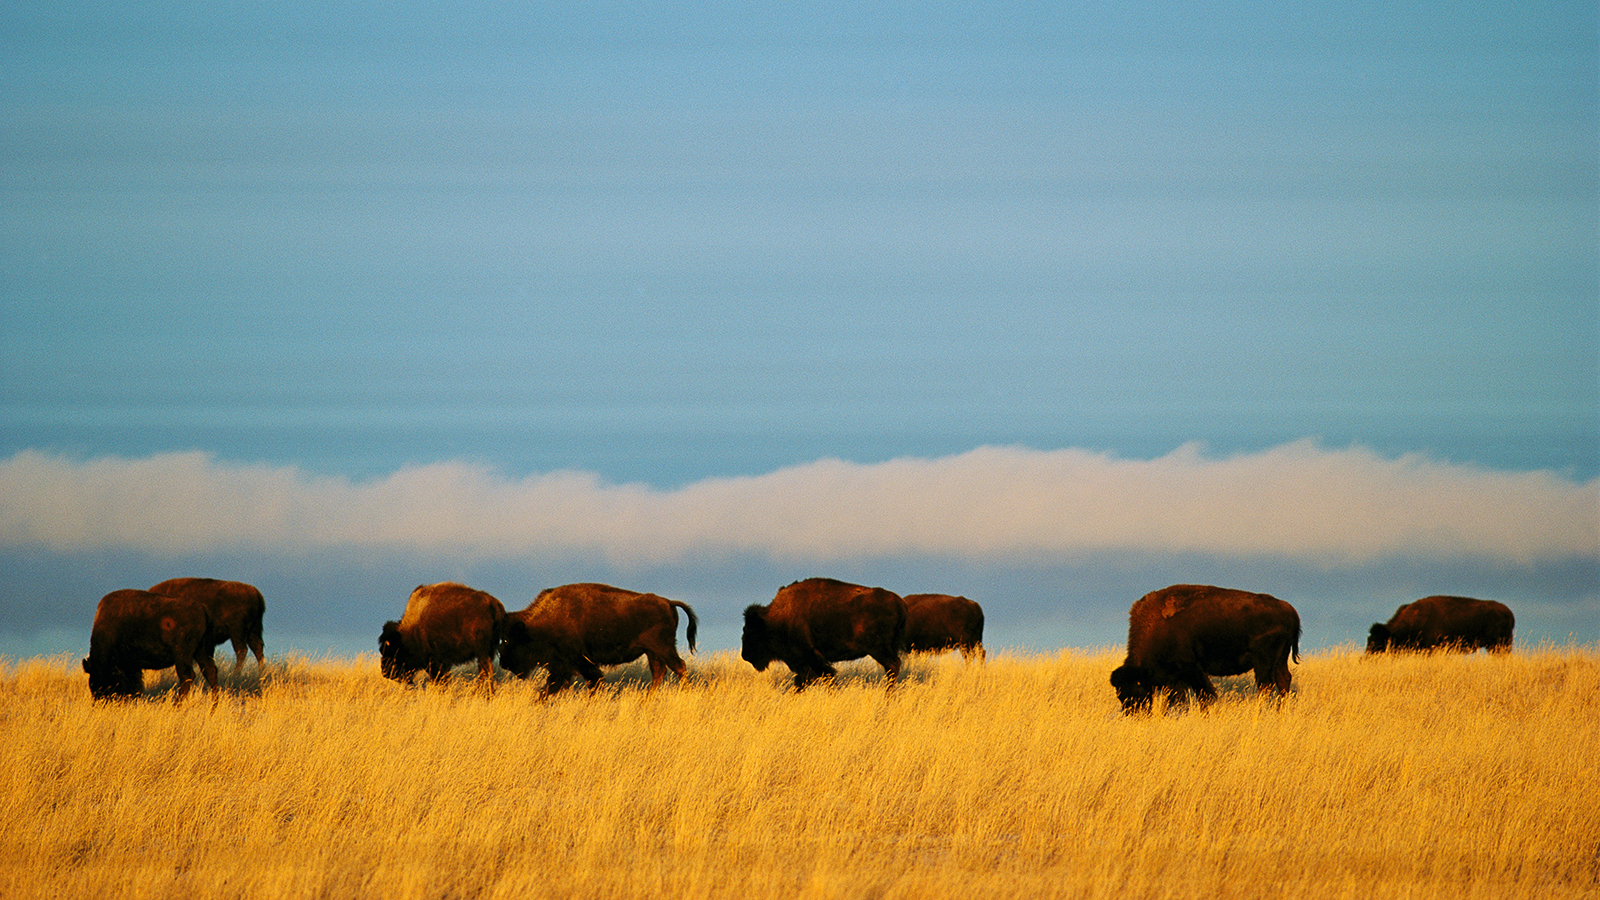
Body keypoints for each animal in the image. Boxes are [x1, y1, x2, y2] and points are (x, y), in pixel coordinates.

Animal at [80, 589, 220, 701]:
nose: (99, 700)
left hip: (182, 655)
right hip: (201, 651)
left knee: (187, 676)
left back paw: (176, 706)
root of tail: (203, 610)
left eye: (105, 681)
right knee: (210, 671)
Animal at [499, 582, 700, 695]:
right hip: (653, 652)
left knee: (679, 667)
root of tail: (668, 602)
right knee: (660, 673)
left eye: (509, 640)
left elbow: (591, 682)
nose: (503, 664)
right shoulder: (564, 667)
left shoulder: (576, 663)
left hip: (663, 648)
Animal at [742, 573, 908, 685]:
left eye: (751, 632)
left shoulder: (812, 657)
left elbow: (827, 677)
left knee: (893, 666)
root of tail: (900, 603)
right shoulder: (806, 665)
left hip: (878, 649)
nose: (745, 655)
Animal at [1113, 582, 1299, 714]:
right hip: (1280, 659)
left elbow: (1204, 695)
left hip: (1263, 661)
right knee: (1283, 681)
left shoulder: (1192, 670)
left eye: (1136, 691)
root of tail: (1289, 610)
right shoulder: (1176, 679)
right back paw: (1280, 713)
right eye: (1120, 695)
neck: (1158, 625)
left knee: (1265, 685)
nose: (1134, 714)